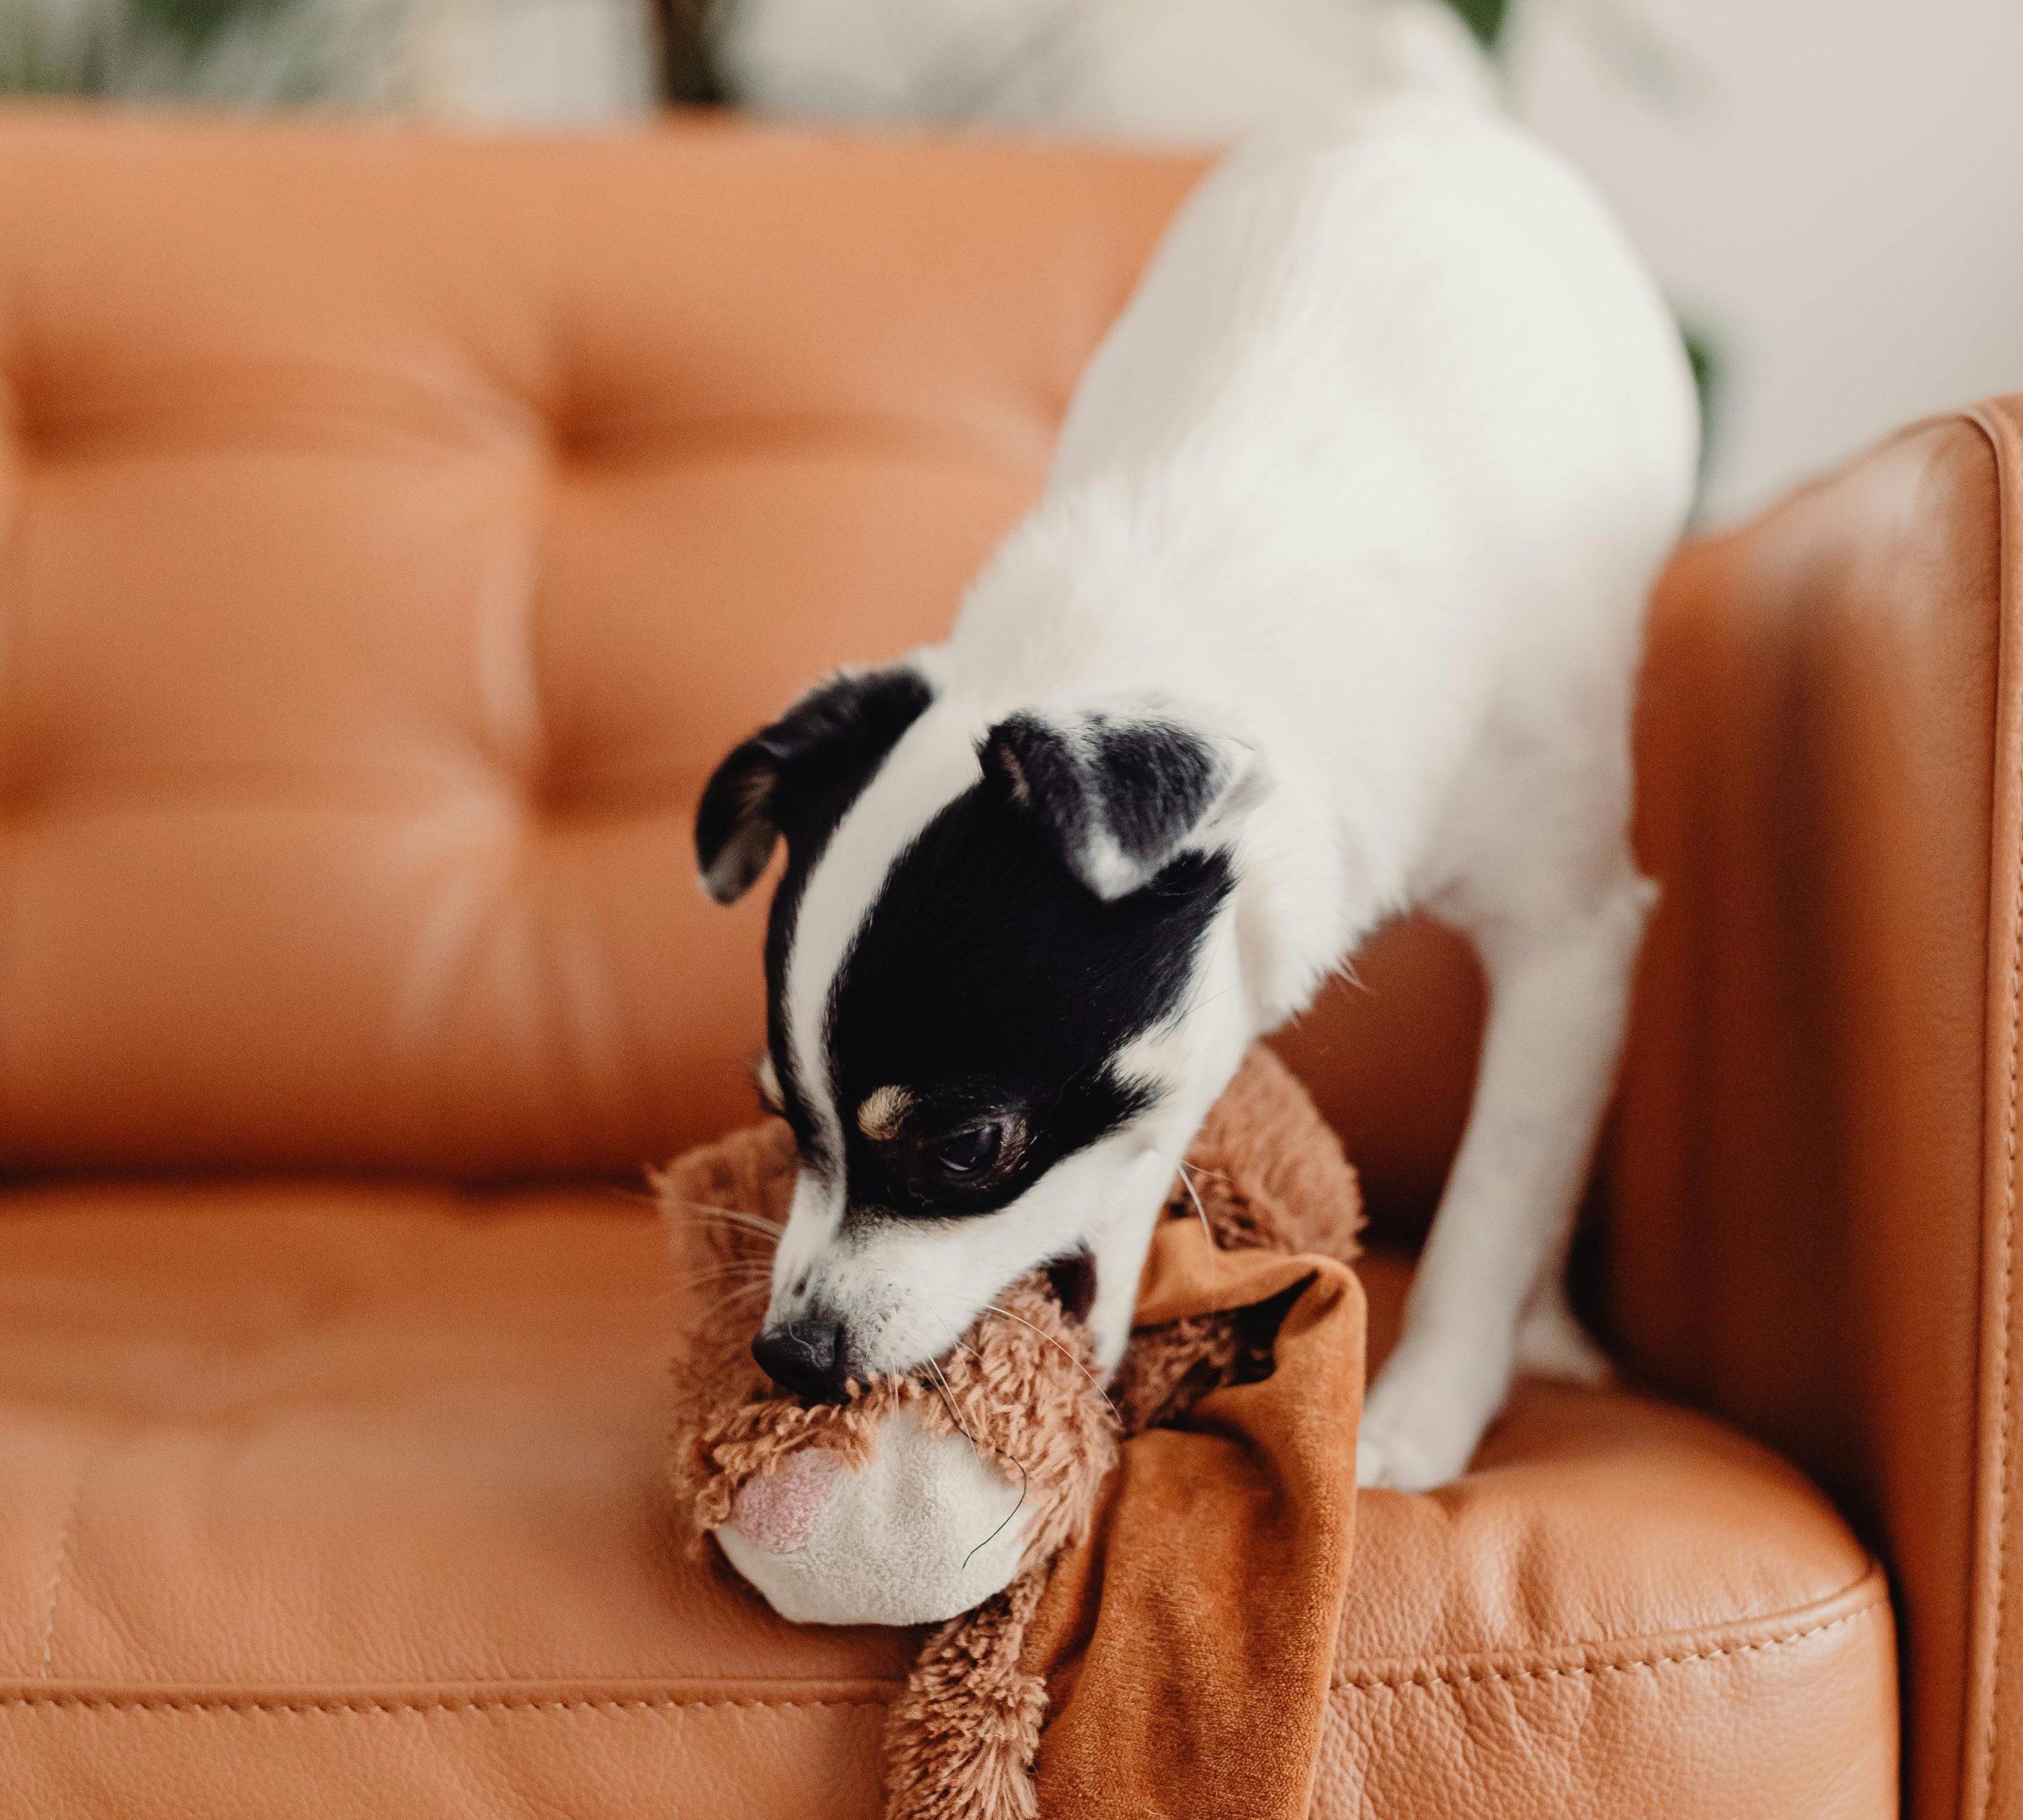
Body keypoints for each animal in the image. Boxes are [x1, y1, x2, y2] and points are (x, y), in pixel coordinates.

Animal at [691, 78, 1691, 1496]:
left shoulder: (1572, 931)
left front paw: (1421, 1415)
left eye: (965, 1147)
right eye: (779, 1118)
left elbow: (1502, 1177)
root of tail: (1421, 92)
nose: (790, 1353)